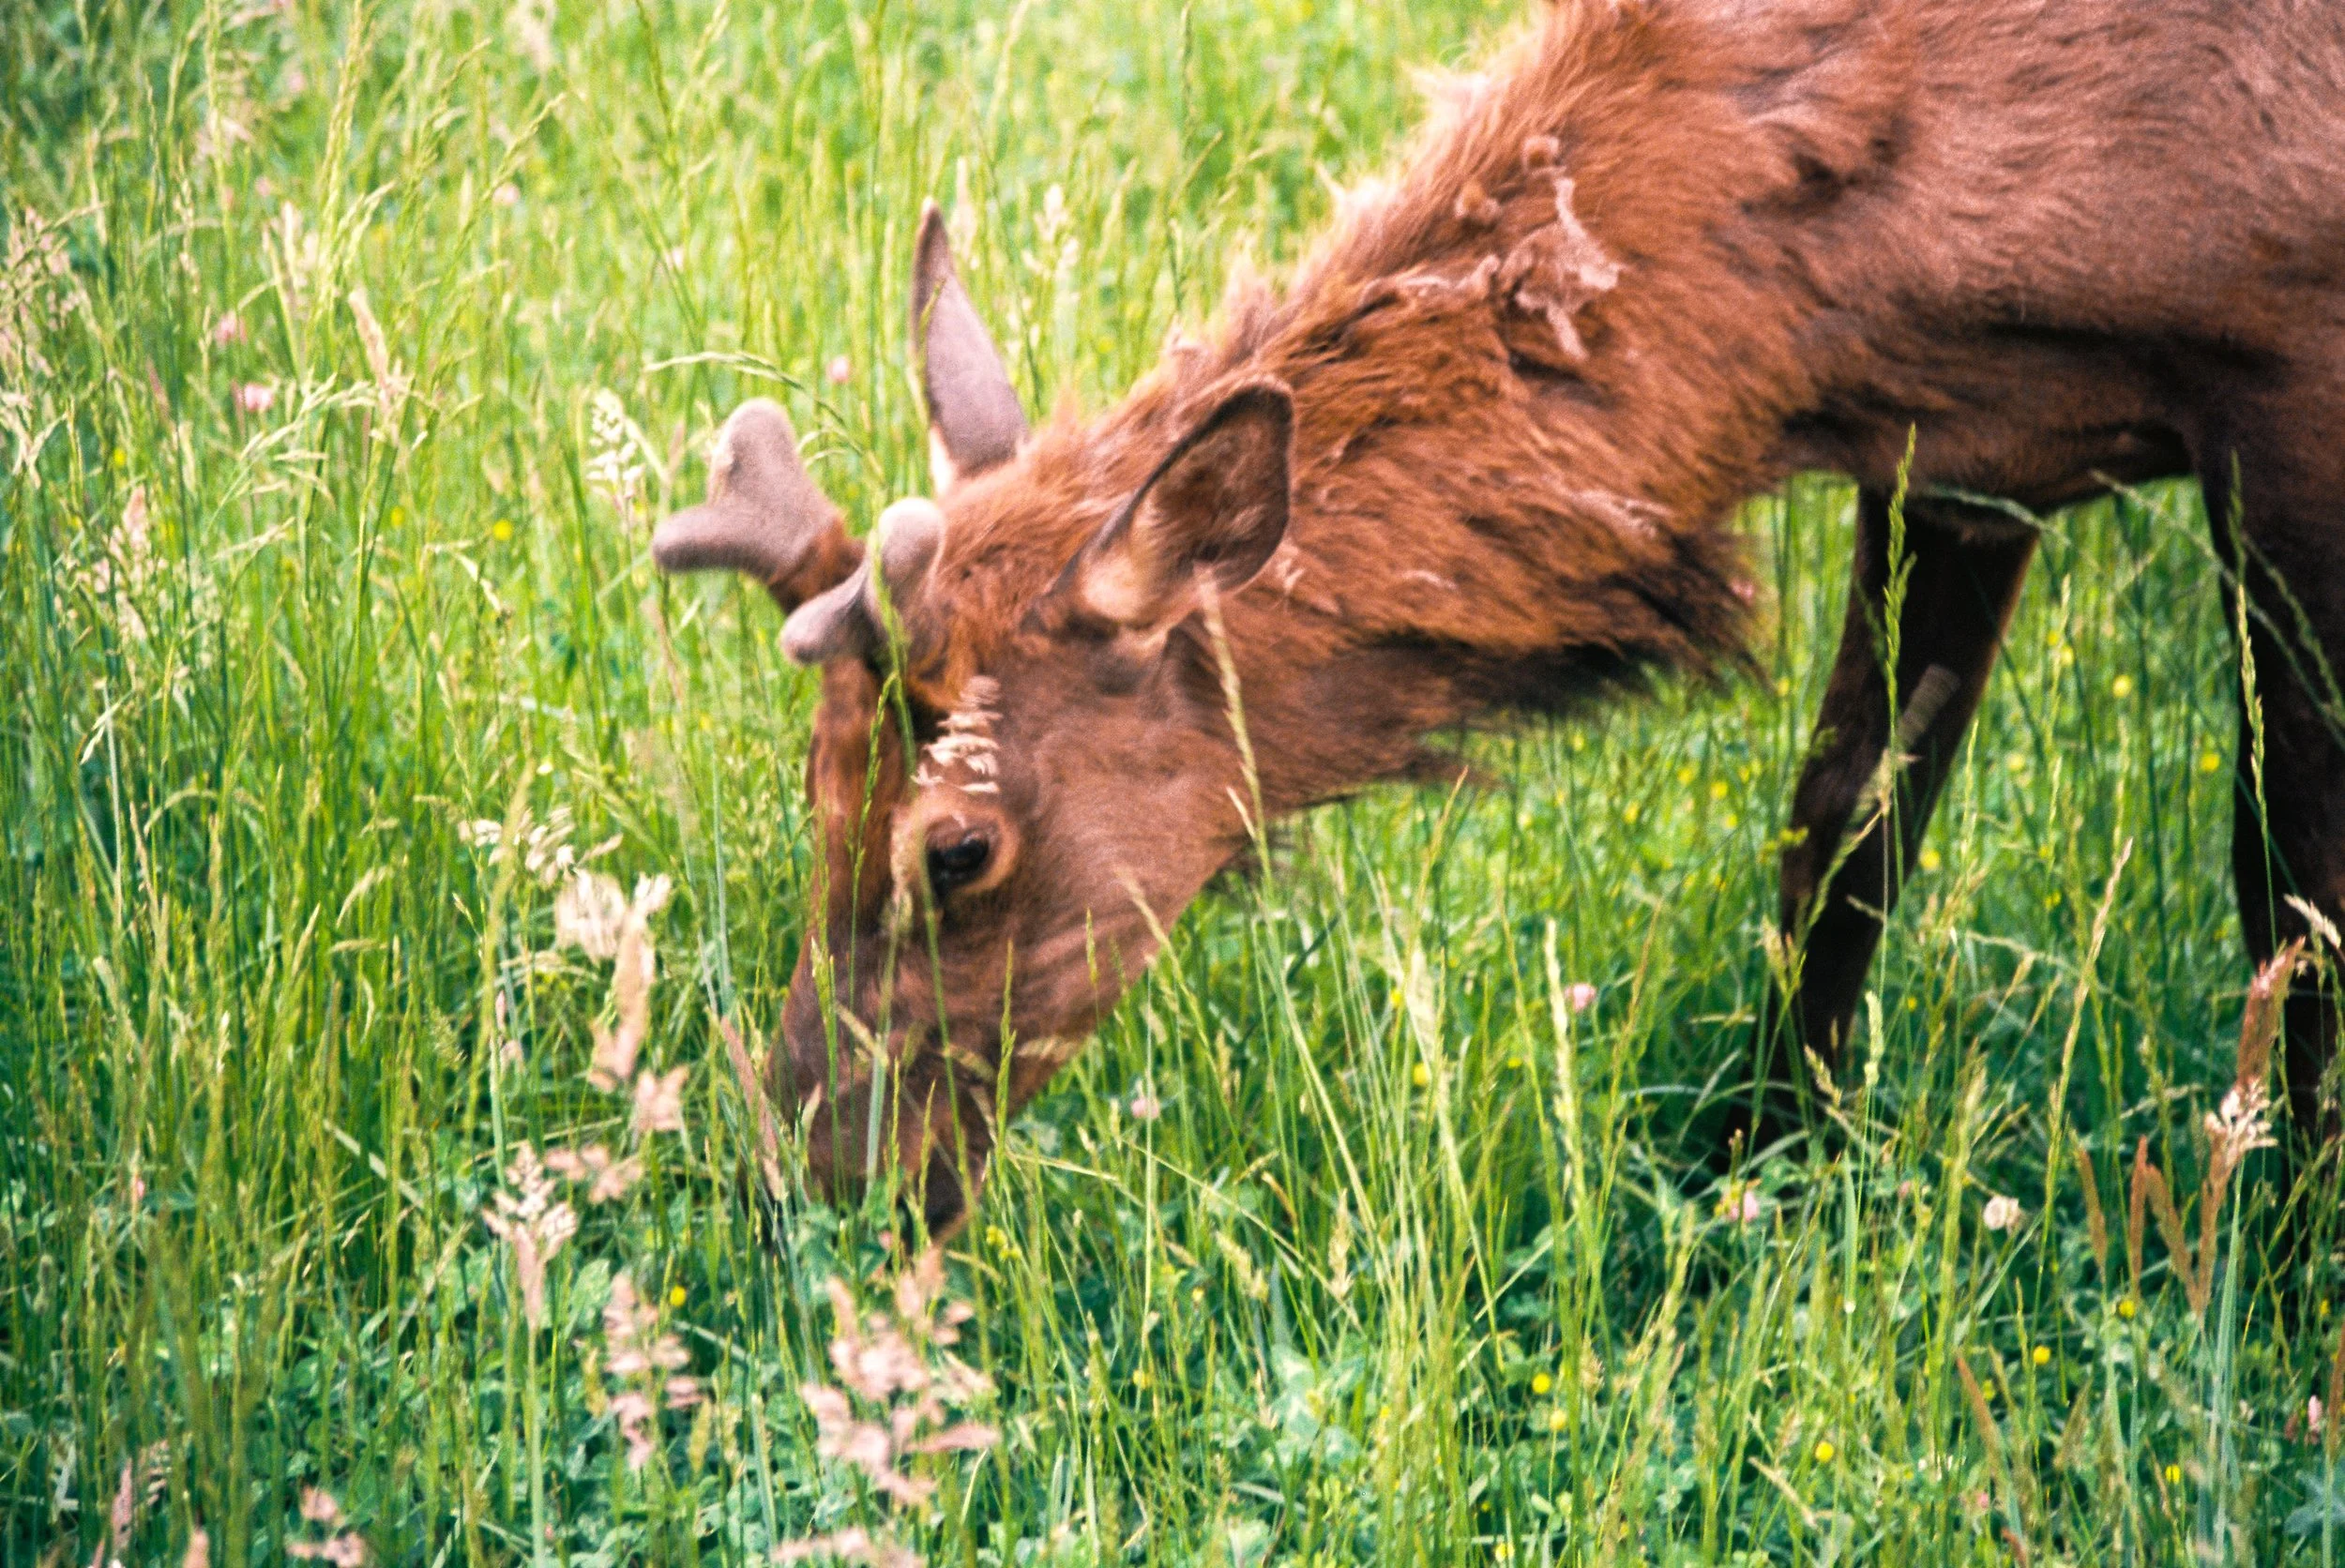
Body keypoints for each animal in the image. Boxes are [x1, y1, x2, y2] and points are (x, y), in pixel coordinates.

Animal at [650, 0, 2345, 1235]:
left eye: (958, 849)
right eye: (816, 784)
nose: (802, 1177)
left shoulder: (2289, 374)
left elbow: (2291, 885)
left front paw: (2275, 1256)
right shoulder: (1966, 455)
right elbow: (1842, 840)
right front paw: (1765, 1174)